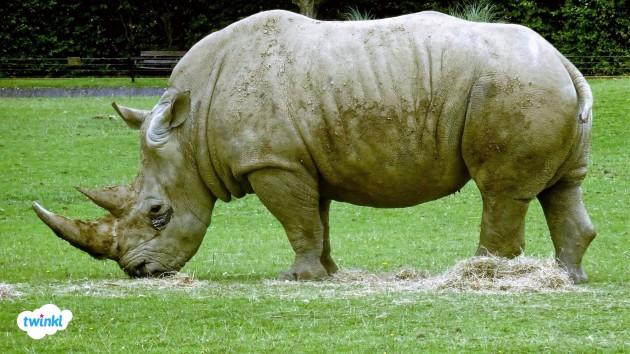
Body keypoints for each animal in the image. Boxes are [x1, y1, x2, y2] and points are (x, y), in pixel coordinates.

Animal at [33, 9, 596, 284]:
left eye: (158, 214)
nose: (138, 272)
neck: (190, 132)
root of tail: (564, 61)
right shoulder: (299, 160)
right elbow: (315, 219)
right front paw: (327, 274)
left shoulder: (272, 162)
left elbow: (296, 221)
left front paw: (295, 278)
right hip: (540, 85)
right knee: (563, 186)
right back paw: (567, 279)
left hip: (513, 86)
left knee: (500, 191)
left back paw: (481, 276)